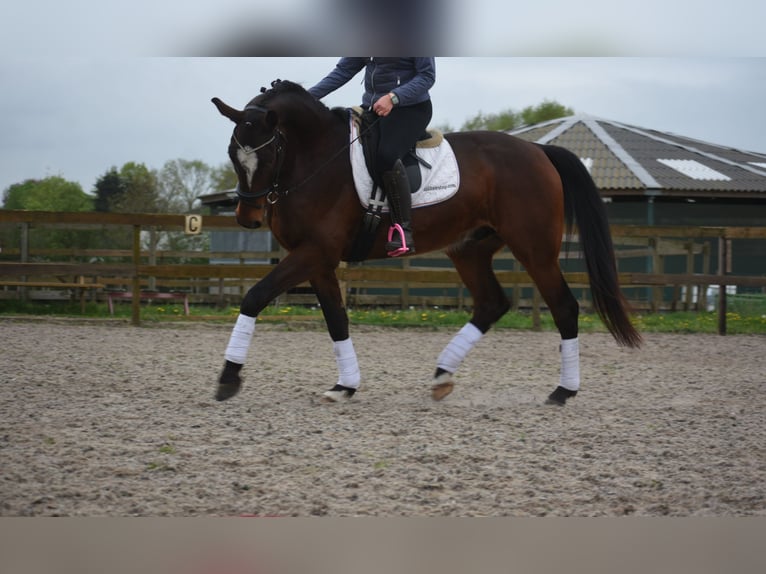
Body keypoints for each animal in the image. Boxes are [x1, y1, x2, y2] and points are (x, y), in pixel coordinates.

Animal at [211, 79, 641, 406]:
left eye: (270, 154)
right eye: (233, 153)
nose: (248, 218)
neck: (318, 160)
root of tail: (538, 150)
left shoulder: (314, 252)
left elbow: (255, 296)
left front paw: (229, 378)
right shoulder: (318, 259)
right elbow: (336, 319)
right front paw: (344, 386)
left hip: (534, 249)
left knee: (564, 307)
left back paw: (563, 391)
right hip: (469, 248)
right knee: (492, 303)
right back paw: (442, 376)